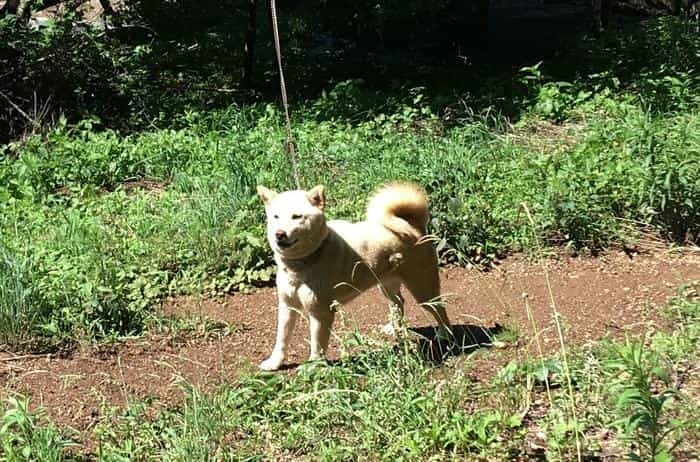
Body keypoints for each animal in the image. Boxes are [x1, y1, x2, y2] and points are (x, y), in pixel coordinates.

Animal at [256, 182, 448, 370]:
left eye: (296, 216)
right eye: (275, 216)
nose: (279, 234)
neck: (303, 263)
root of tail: (414, 225)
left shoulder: (321, 312)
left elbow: (317, 345)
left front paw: (314, 367)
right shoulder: (287, 307)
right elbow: (281, 340)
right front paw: (274, 362)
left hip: (423, 289)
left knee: (439, 309)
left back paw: (444, 334)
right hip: (386, 284)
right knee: (398, 302)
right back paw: (393, 328)